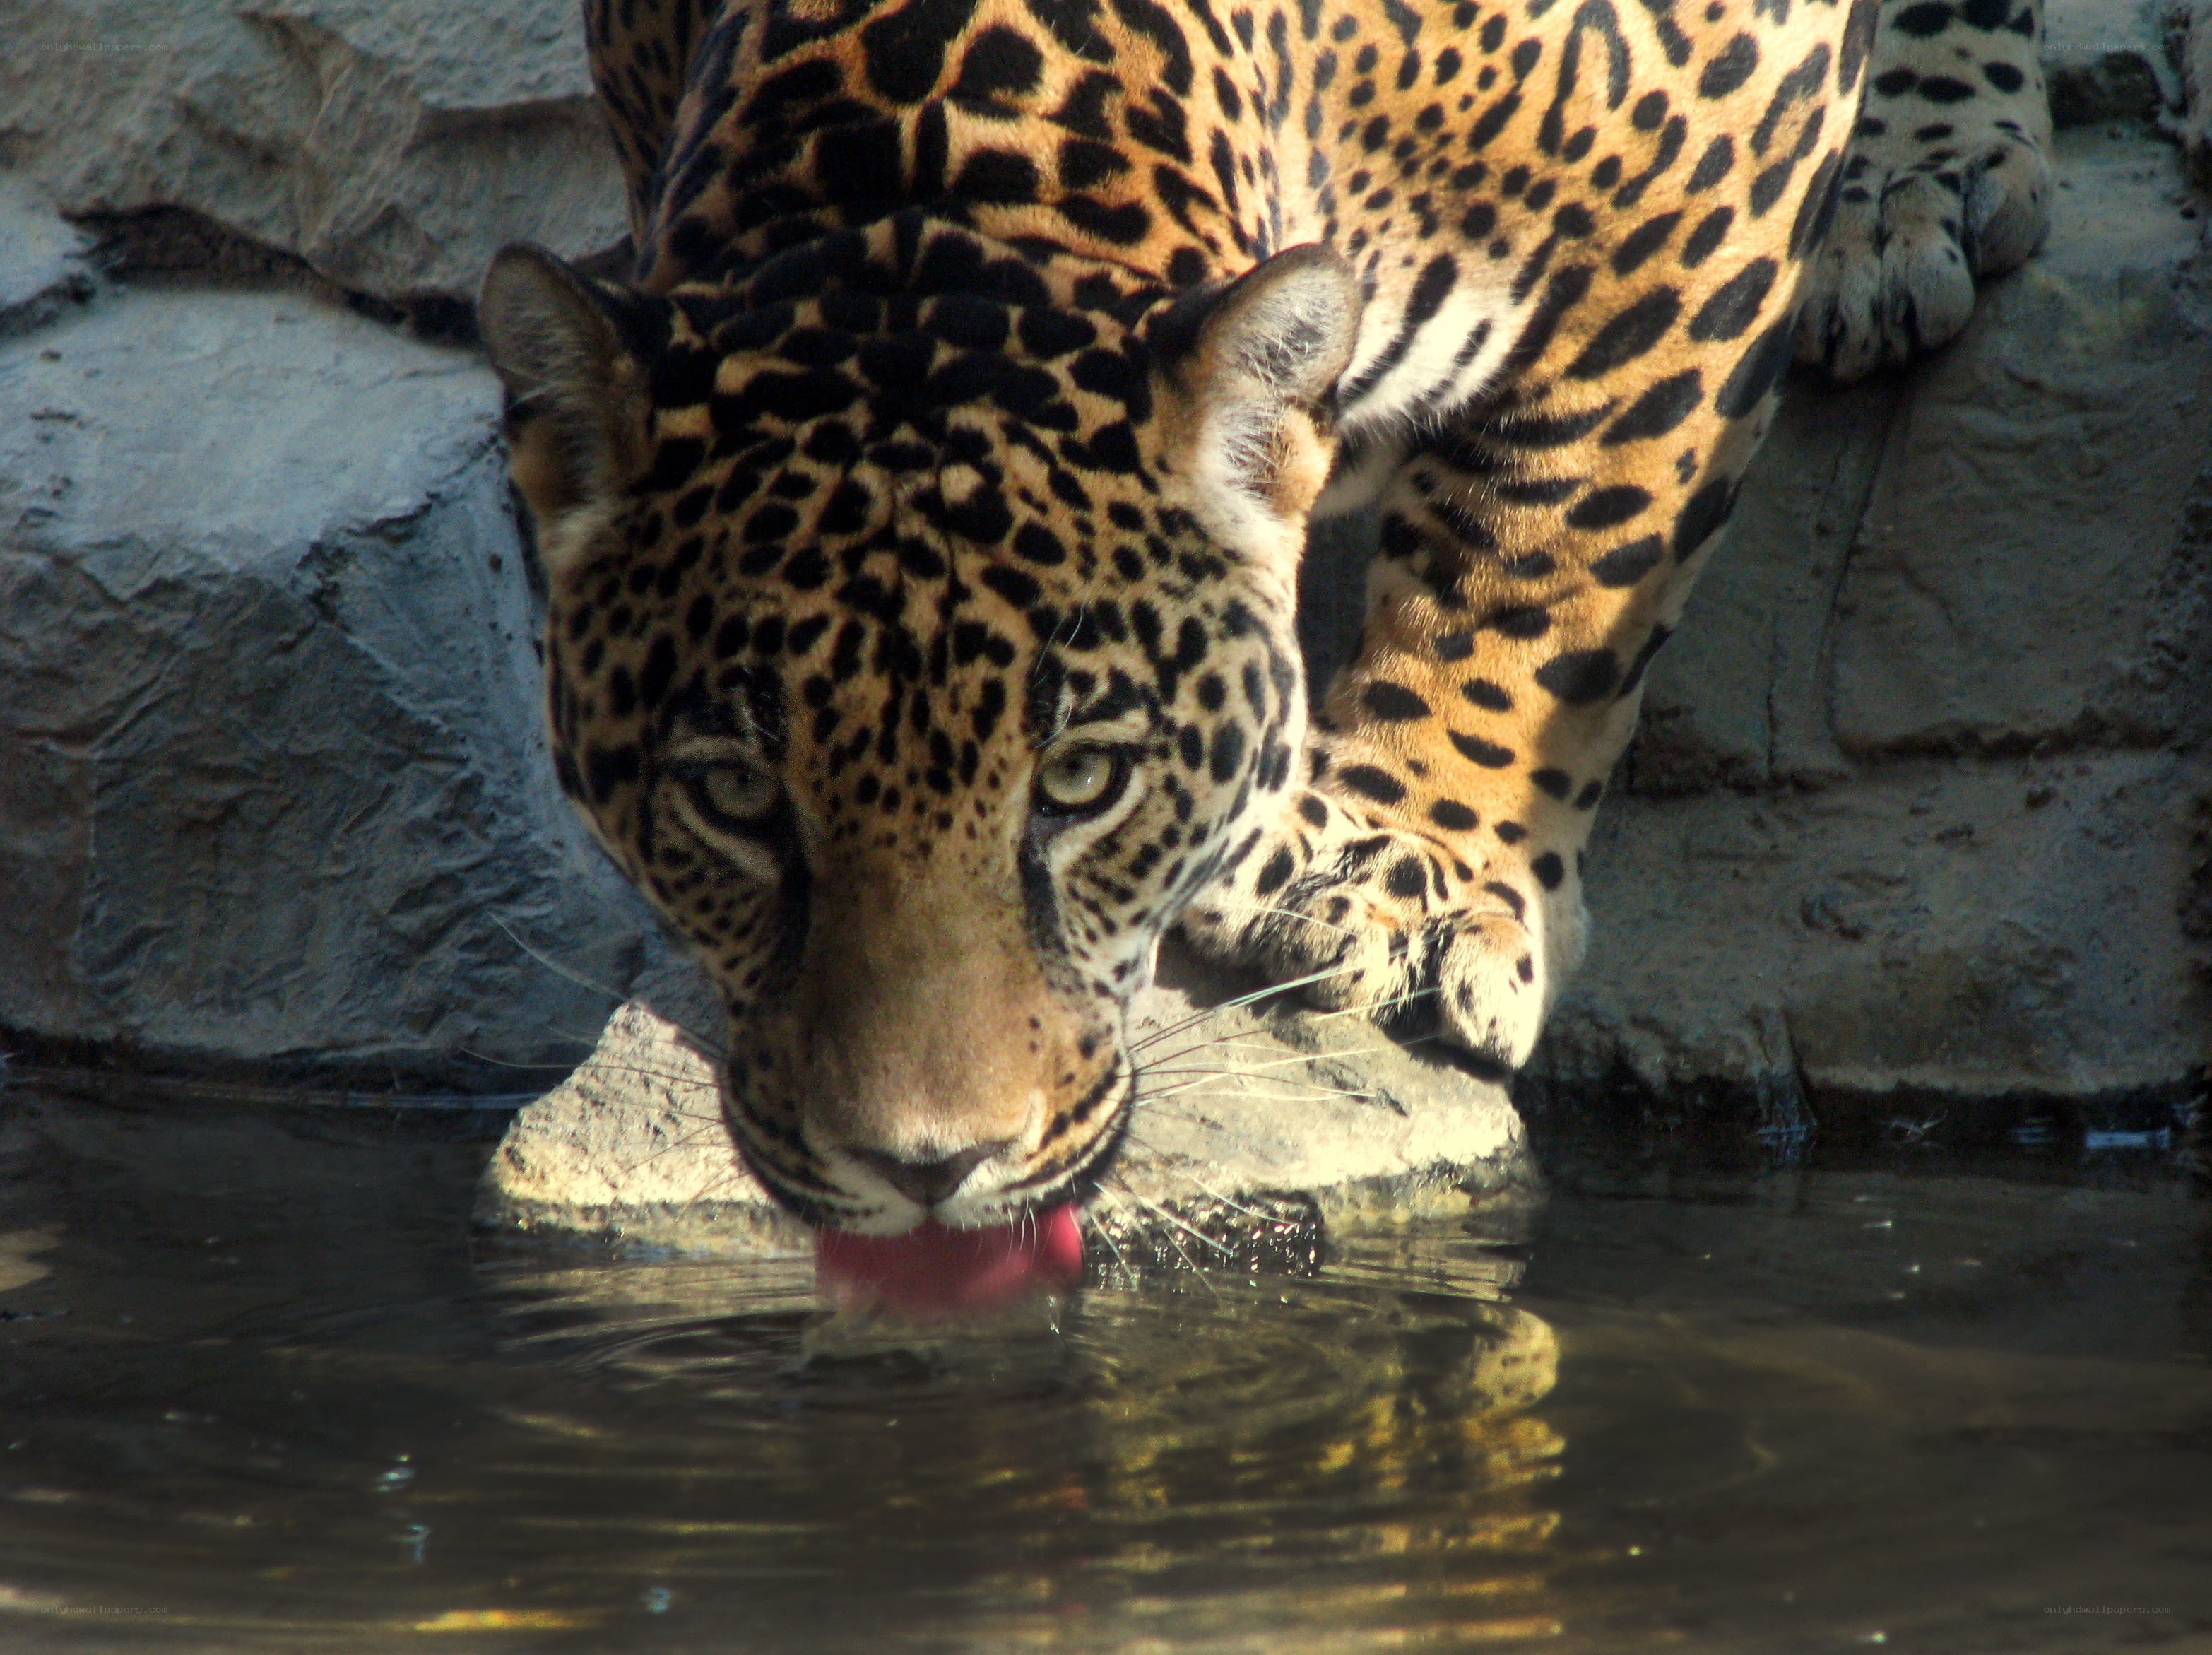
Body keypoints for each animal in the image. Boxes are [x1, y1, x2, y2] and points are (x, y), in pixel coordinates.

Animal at [476, 0, 2052, 1235]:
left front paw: (1412, 873)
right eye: (736, 796)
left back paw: (1911, 180)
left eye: (1080, 783)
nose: (923, 1171)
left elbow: (1559, 532)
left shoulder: (1707, 141)